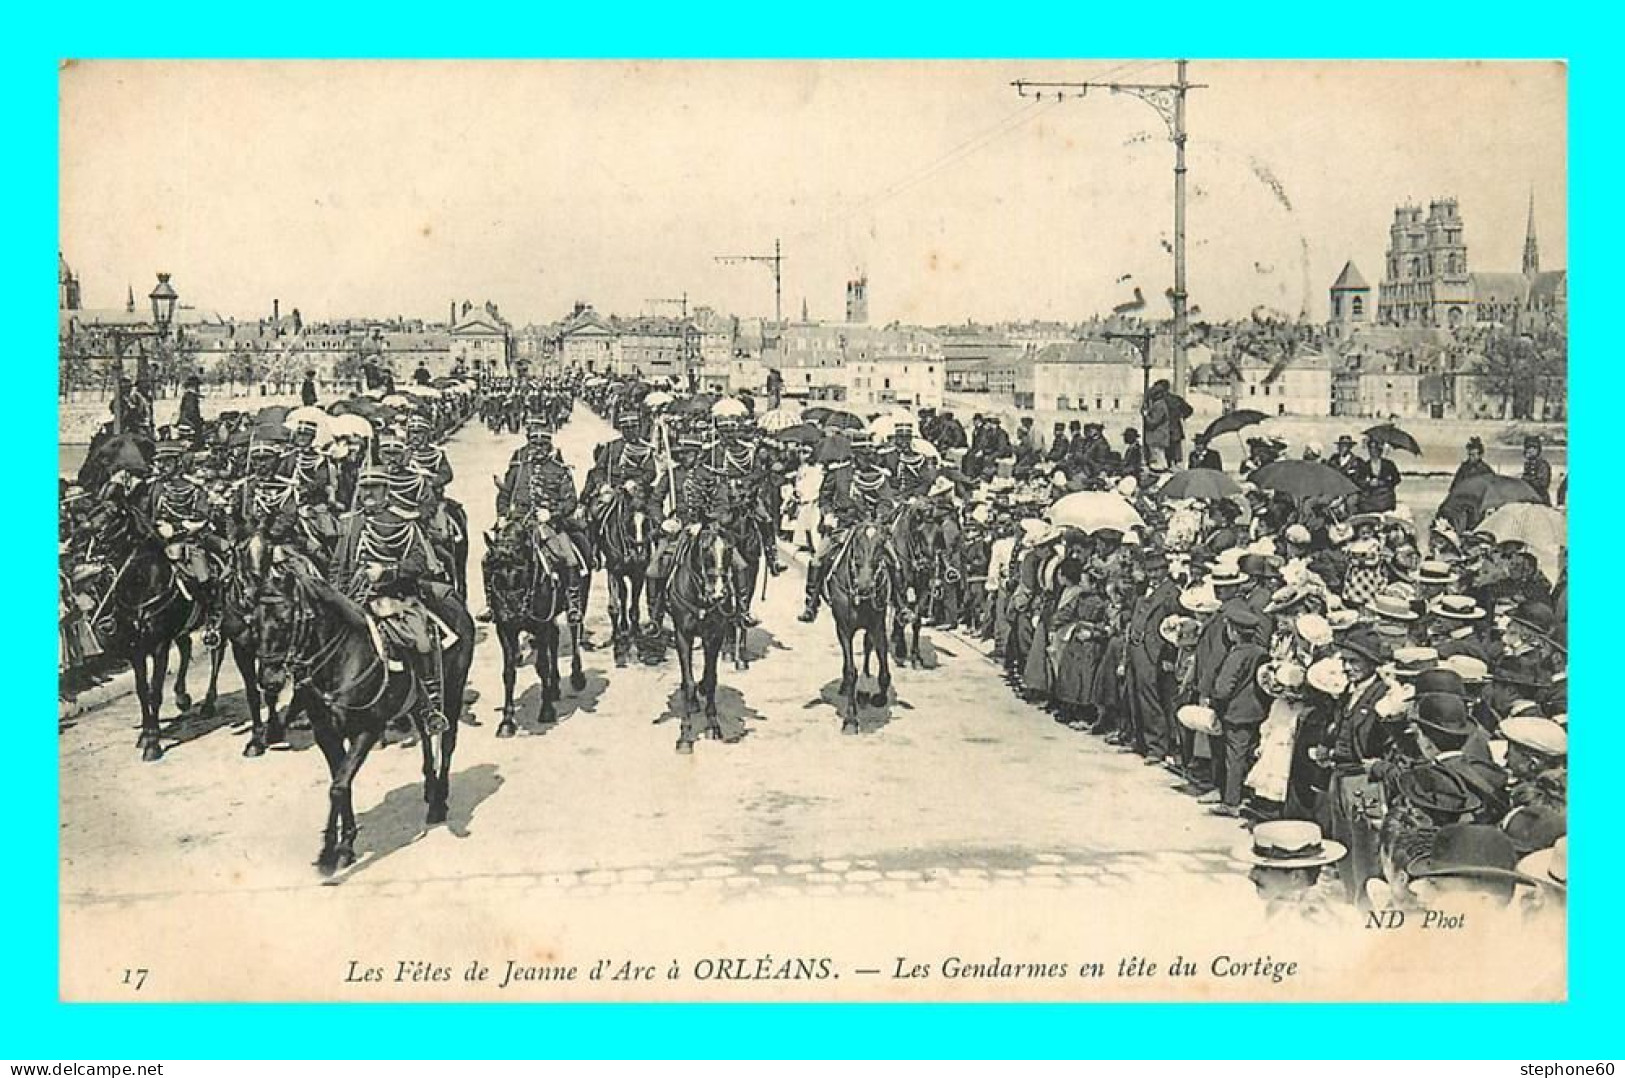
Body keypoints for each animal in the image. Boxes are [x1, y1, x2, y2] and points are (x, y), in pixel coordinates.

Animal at [251, 556, 471, 878]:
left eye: (284, 619)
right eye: (253, 623)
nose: (269, 680)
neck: (342, 660)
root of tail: (452, 596)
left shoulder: (366, 732)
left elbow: (338, 786)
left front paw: (332, 852)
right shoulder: (326, 735)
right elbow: (340, 784)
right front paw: (342, 846)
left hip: (453, 691)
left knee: (447, 741)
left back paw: (439, 803)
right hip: (416, 704)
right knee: (425, 738)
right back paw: (430, 791)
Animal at [481, 513, 585, 734]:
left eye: (523, 571)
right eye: (495, 574)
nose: (515, 615)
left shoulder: (540, 626)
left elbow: (542, 666)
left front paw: (546, 711)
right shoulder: (505, 630)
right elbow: (509, 671)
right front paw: (507, 721)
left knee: (574, 633)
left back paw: (577, 676)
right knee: (555, 639)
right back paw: (554, 687)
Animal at [588, 487, 650, 666]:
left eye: (646, 520)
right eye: (628, 520)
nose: (640, 556)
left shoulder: (638, 576)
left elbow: (634, 611)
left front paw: (634, 651)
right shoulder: (613, 573)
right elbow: (614, 608)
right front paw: (618, 651)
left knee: (624, 596)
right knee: (621, 595)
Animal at [663, 523, 741, 751]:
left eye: (730, 549)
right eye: (705, 549)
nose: (719, 593)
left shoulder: (714, 635)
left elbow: (712, 678)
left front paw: (713, 725)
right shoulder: (682, 635)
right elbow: (688, 682)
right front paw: (685, 734)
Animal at [825, 520, 903, 734]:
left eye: (882, 544)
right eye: (856, 543)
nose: (865, 586)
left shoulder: (878, 626)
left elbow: (883, 663)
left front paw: (881, 696)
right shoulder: (844, 629)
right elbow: (852, 671)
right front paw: (851, 719)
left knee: (868, 646)